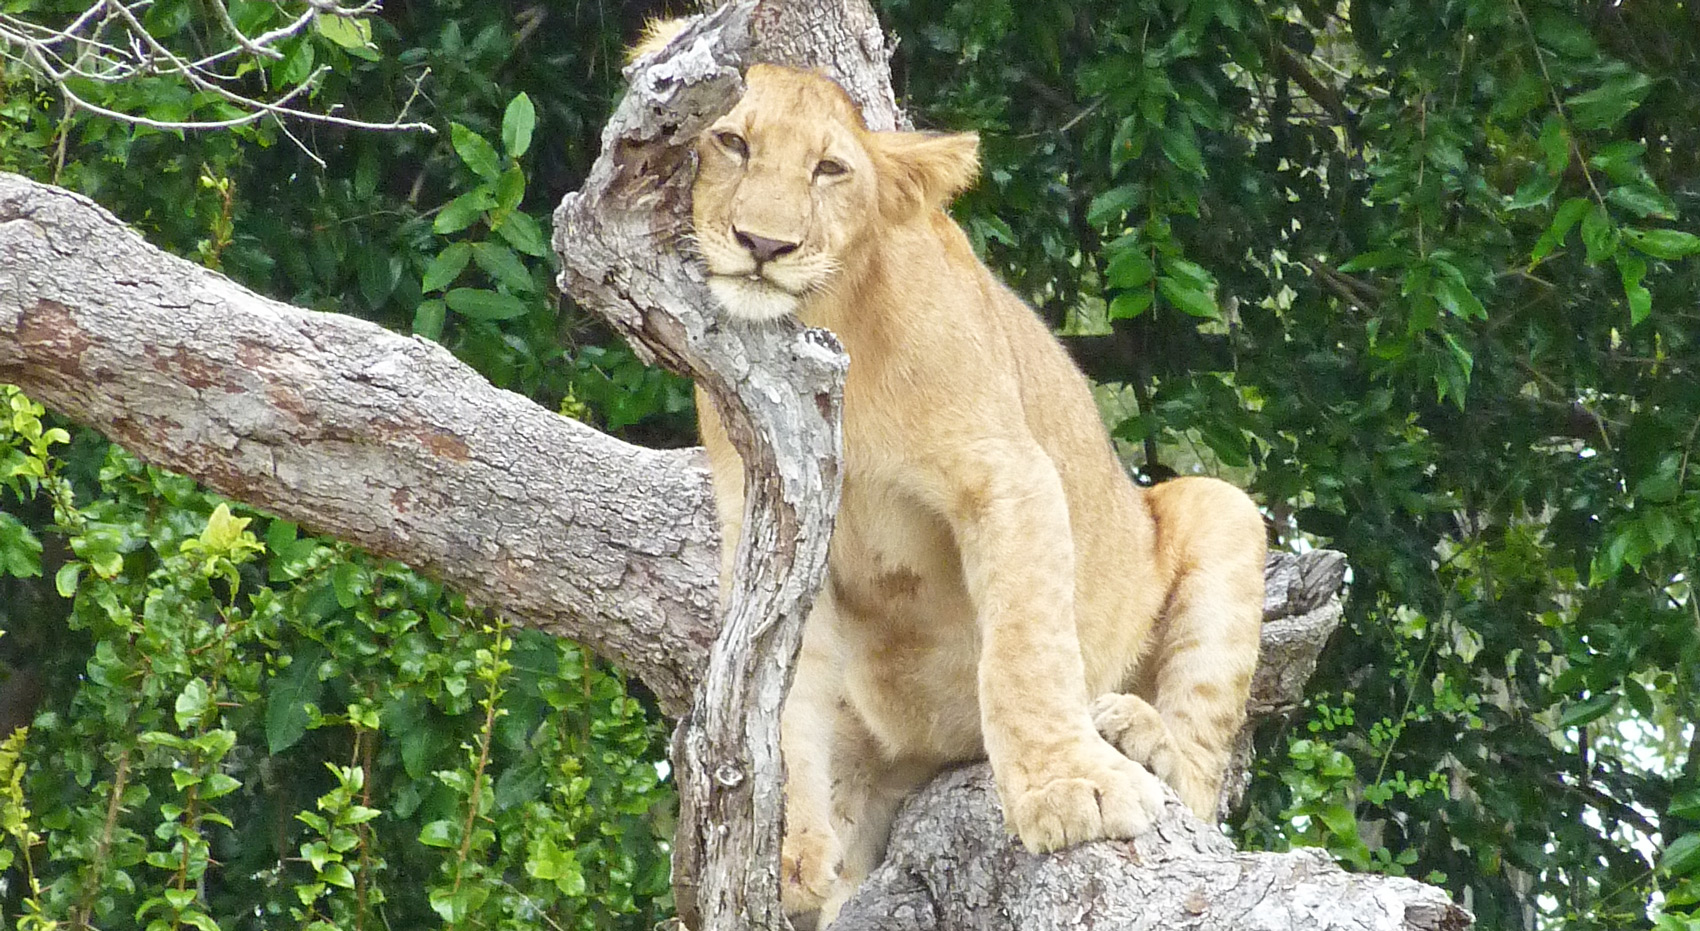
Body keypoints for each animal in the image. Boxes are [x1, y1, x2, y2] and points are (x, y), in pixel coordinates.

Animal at [680, 56, 1267, 926]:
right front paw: (786, 848)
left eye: (829, 169)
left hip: (1225, 512)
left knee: (1198, 778)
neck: (828, 321)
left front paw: (1070, 787)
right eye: (731, 142)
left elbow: (1024, 645)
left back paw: (1138, 735)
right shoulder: (774, 526)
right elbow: (780, 695)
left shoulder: (1007, 470)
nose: (763, 244)